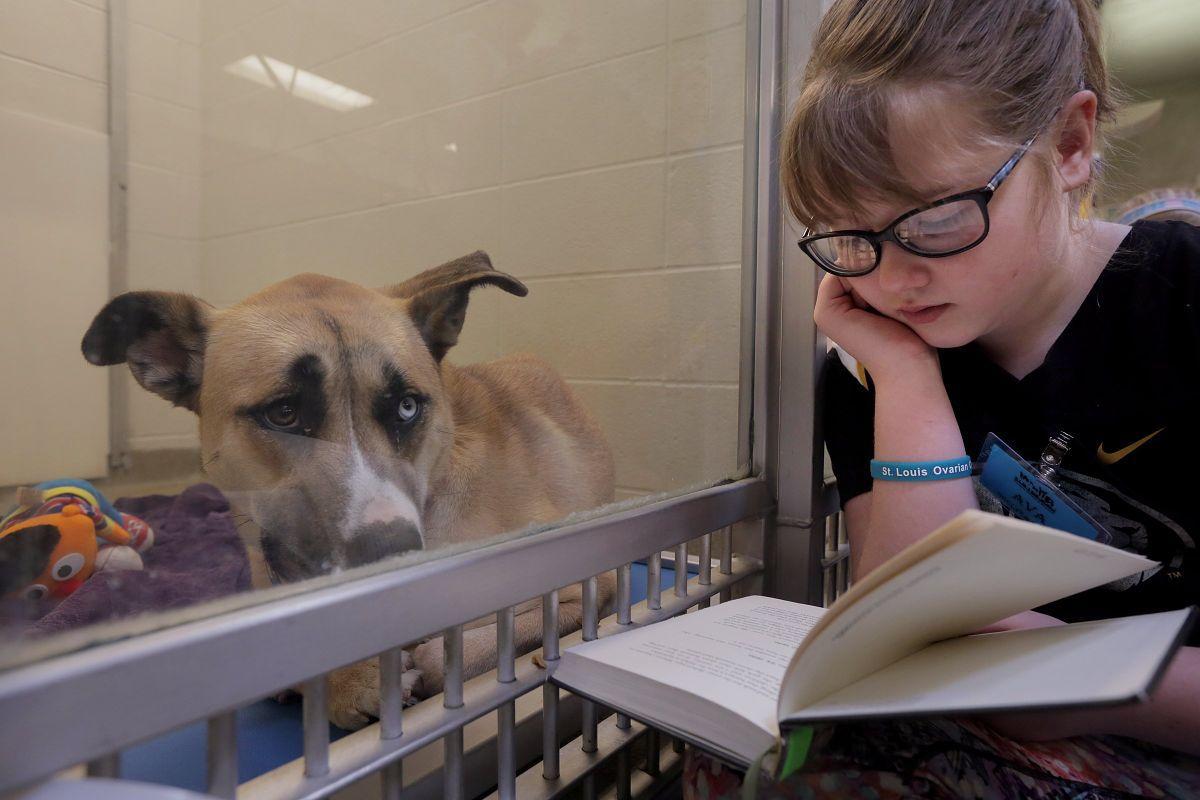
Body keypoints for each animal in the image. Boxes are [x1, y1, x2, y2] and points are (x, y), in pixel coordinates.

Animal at [82, 253, 619, 729]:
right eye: (284, 413)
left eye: (407, 407)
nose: (391, 554)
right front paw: (346, 680)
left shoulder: (590, 584)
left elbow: (462, 644)